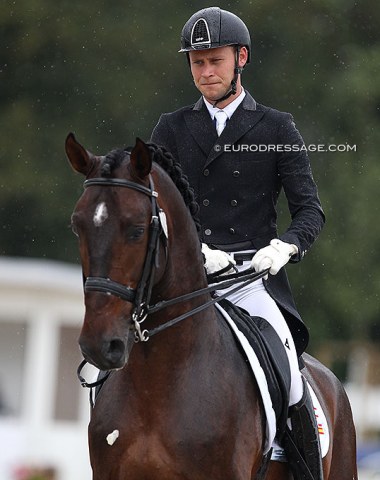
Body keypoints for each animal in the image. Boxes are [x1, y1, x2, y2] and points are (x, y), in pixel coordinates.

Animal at [64, 132, 356, 480]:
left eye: (137, 230)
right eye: (77, 226)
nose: (99, 345)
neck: (156, 386)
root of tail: (330, 379)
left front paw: (272, 256)